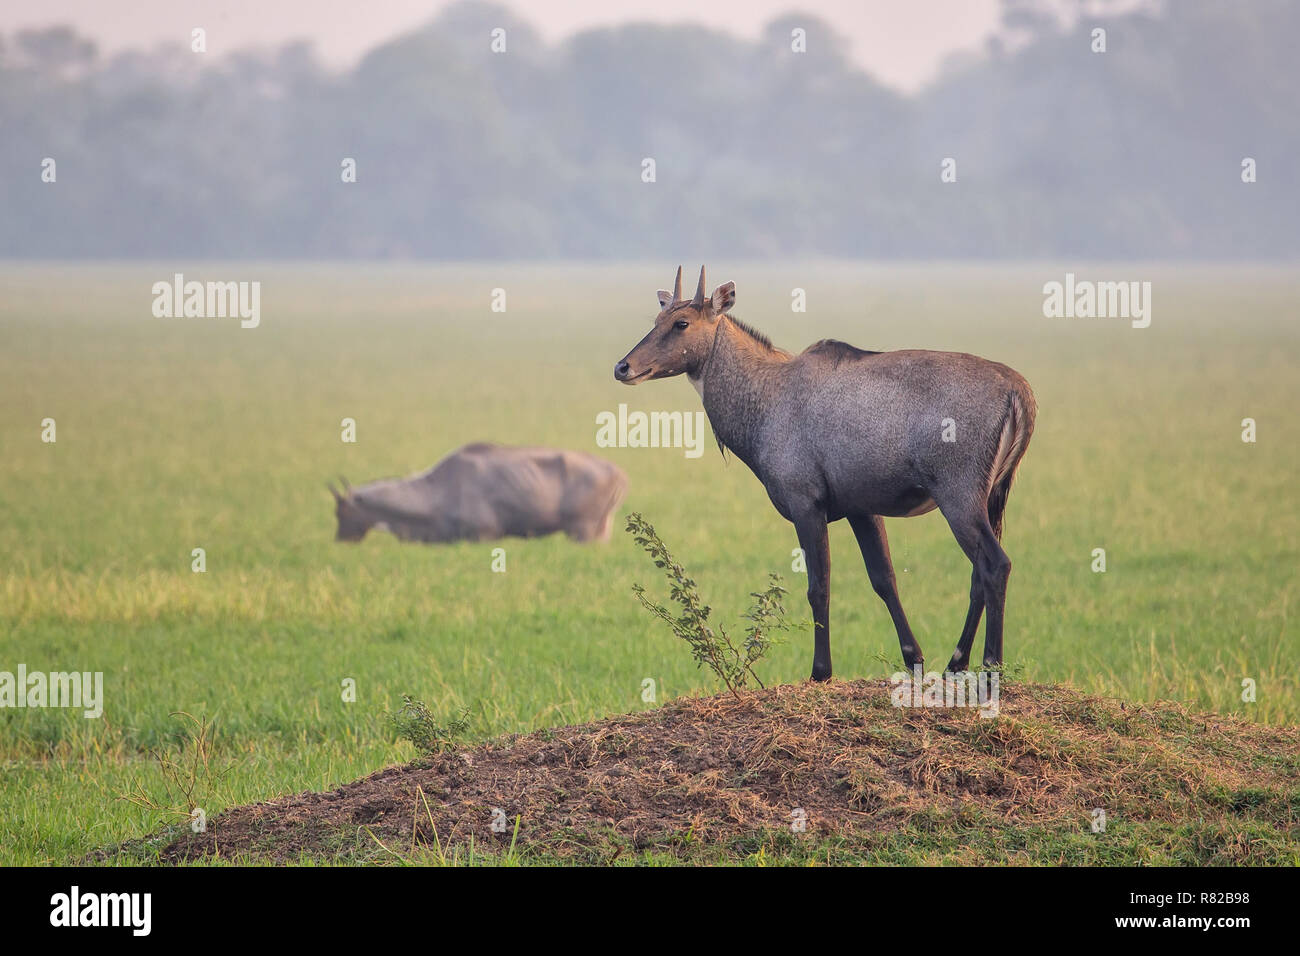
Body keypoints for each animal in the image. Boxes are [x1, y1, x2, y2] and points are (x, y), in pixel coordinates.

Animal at [616, 265, 1034, 681]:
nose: (623, 367)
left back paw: (990, 665)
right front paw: (913, 658)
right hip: (993, 495)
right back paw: (955, 662)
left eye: (682, 323)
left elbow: (819, 586)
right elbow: (884, 580)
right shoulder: (862, 508)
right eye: (657, 320)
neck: (768, 398)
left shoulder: (806, 502)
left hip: (958, 493)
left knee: (995, 564)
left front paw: (820, 671)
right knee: (978, 572)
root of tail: (1021, 393)